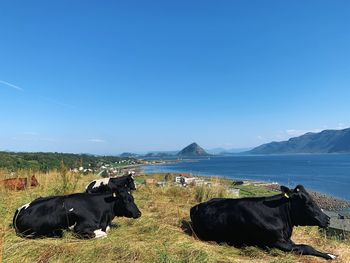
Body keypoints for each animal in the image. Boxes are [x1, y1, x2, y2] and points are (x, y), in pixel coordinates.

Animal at [12, 190, 141, 239]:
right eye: (125, 200)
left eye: (133, 198)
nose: (139, 213)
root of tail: (19, 209)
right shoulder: (79, 229)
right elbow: (103, 234)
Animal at [191, 187, 336, 260]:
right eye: (308, 203)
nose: (328, 219)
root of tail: (196, 206)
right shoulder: (276, 242)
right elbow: (306, 247)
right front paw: (330, 256)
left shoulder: (286, 239)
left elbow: (305, 245)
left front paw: (330, 253)